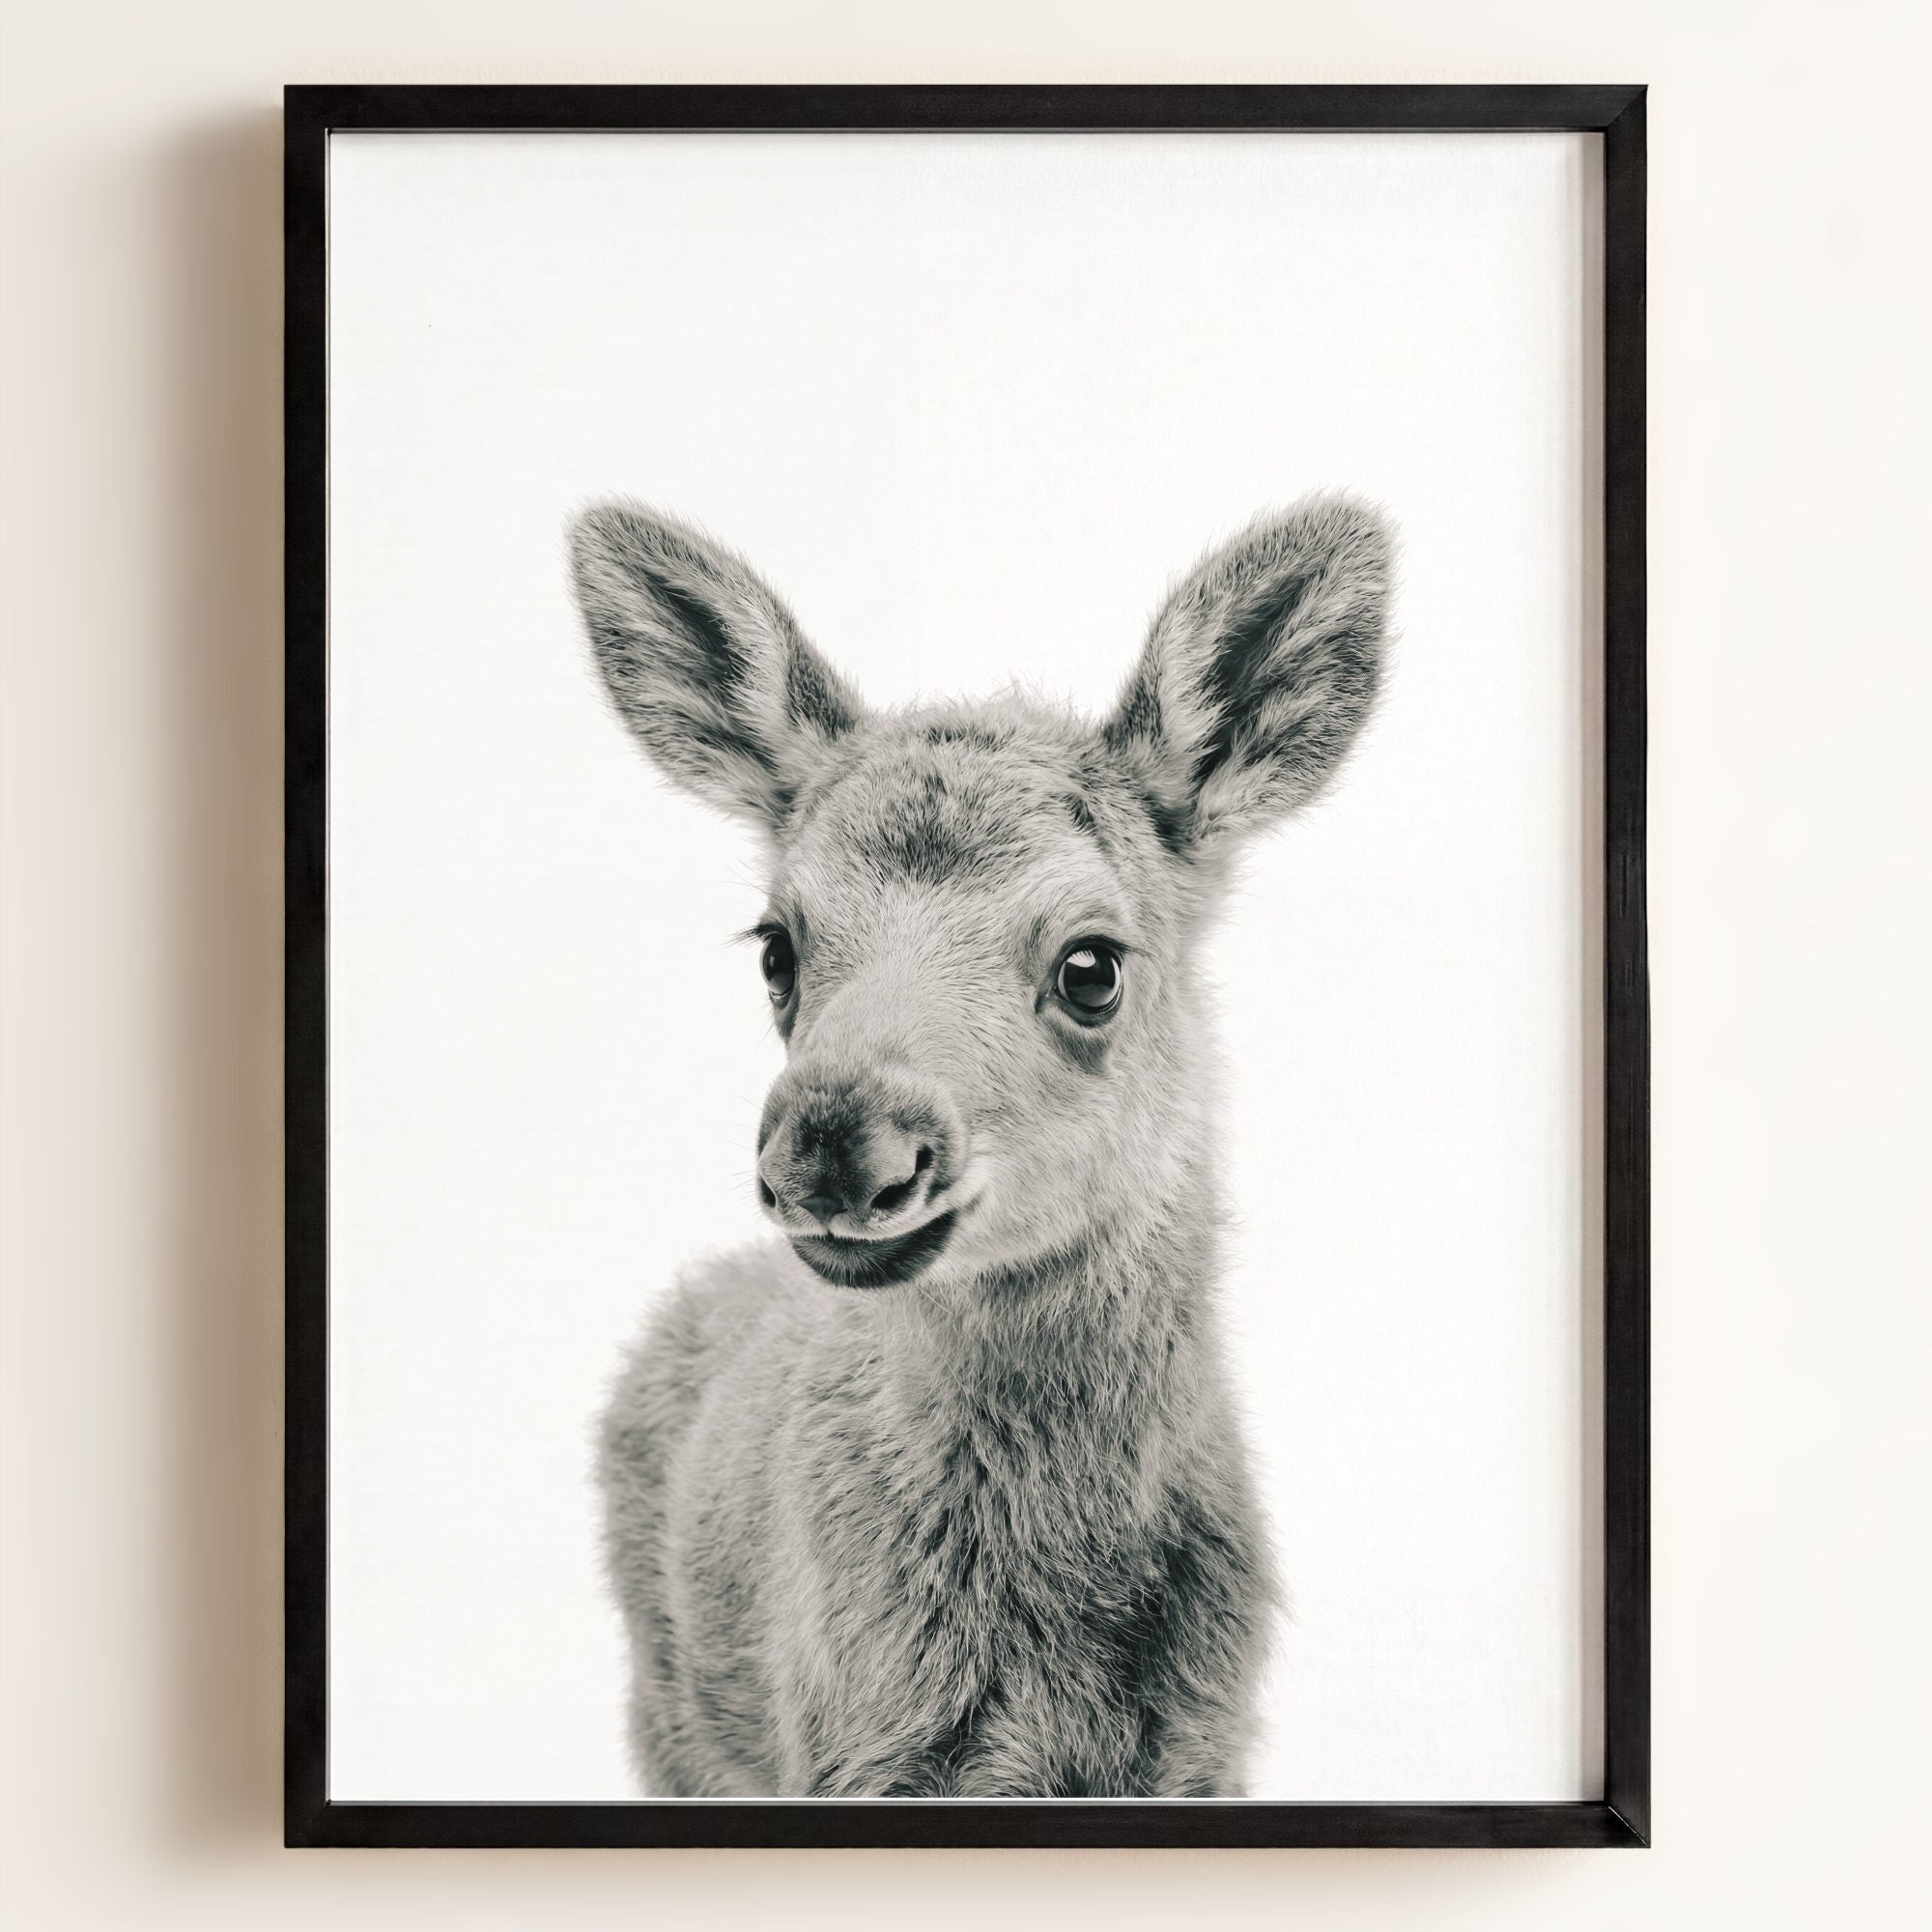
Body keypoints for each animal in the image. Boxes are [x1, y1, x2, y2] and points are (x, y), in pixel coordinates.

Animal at [568, 492, 1393, 1797]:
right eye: (777, 947)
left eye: (1091, 964)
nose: (834, 1144)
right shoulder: (846, 1749)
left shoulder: (1204, 1747)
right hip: (670, 1714)